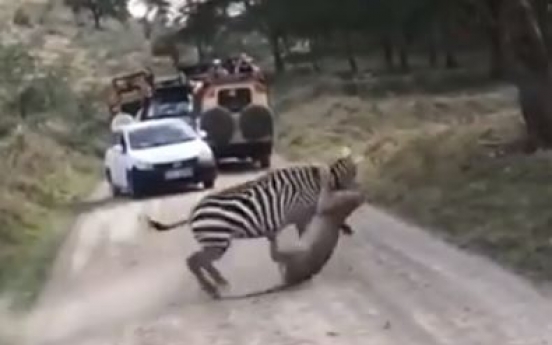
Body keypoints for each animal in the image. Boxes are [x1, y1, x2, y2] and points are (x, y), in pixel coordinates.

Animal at [146, 146, 362, 296]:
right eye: (355, 177)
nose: (363, 194)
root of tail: (193, 213)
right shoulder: (304, 215)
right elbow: (307, 235)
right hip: (217, 241)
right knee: (195, 261)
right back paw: (214, 288)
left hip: (213, 242)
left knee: (198, 262)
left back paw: (217, 285)